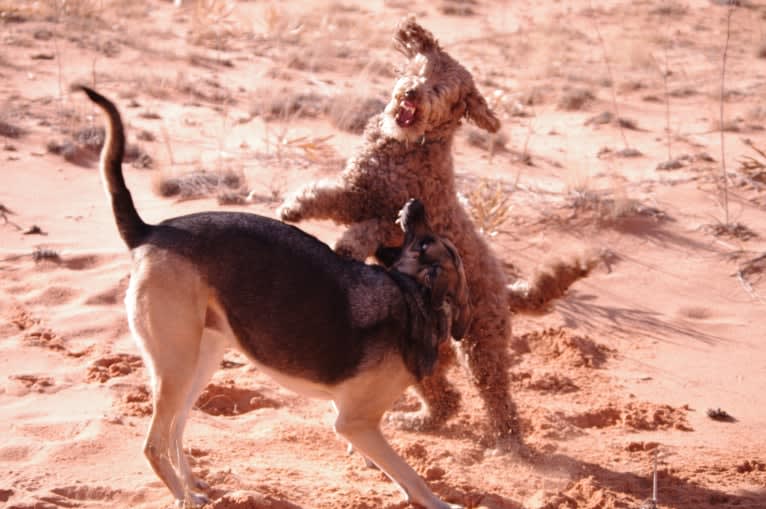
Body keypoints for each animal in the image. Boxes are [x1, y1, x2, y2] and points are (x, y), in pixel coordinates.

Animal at [78, 86, 474, 508]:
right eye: (426, 241)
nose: (414, 204)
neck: (414, 299)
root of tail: (149, 232)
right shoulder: (354, 423)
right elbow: (412, 477)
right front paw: (439, 503)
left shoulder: (359, 425)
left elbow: (397, 473)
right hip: (177, 365)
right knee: (154, 443)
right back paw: (185, 497)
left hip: (199, 360)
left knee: (174, 430)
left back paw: (193, 484)